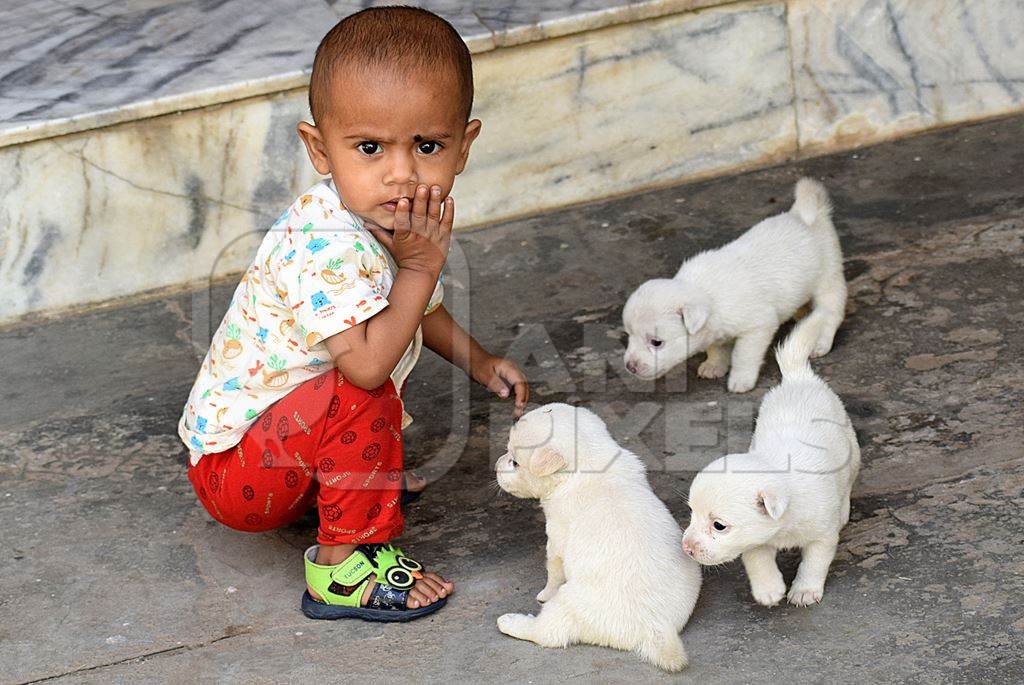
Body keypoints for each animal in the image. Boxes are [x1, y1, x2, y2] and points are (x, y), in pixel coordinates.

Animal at [491, 403, 700, 671]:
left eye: (515, 462)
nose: (496, 465)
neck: (591, 462)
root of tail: (655, 628)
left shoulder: (556, 537)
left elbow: (553, 571)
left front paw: (544, 593)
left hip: (569, 602)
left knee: (548, 633)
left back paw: (511, 622)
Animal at [622, 178, 847, 389]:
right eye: (629, 334)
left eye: (656, 342)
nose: (630, 367)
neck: (706, 293)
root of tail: (800, 213)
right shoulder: (713, 334)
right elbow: (717, 350)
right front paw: (714, 366)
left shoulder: (758, 327)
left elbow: (743, 355)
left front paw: (740, 380)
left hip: (829, 280)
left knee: (831, 313)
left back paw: (820, 342)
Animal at [684, 317, 860, 606]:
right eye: (691, 513)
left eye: (719, 526)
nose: (685, 547)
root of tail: (798, 378)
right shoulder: (753, 541)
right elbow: (757, 559)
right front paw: (768, 589)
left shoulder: (822, 536)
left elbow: (814, 562)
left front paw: (804, 590)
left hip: (851, 453)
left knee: (847, 483)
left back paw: (844, 509)